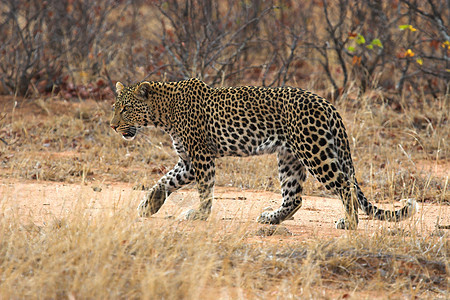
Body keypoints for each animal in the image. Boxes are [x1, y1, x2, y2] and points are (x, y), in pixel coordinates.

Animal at [110, 78, 418, 230]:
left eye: (125, 109)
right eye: (116, 108)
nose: (112, 126)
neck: (163, 112)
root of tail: (327, 104)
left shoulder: (201, 157)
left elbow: (205, 189)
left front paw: (200, 215)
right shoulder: (187, 161)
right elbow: (164, 181)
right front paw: (149, 205)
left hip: (315, 152)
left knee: (344, 186)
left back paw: (349, 223)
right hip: (290, 158)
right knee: (295, 198)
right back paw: (272, 219)